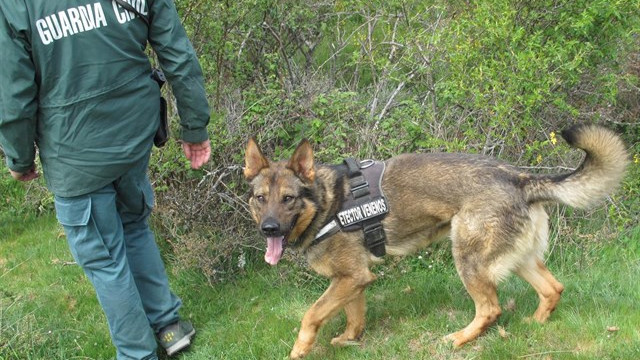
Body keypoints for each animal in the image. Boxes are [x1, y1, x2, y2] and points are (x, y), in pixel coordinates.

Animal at [242, 124, 628, 358]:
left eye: (289, 199)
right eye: (261, 199)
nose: (269, 229)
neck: (327, 204)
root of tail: (521, 179)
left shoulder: (350, 278)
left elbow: (311, 315)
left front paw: (299, 351)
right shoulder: (353, 280)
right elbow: (354, 315)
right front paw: (350, 340)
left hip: (468, 259)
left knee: (490, 309)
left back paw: (459, 339)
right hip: (516, 259)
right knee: (552, 289)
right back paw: (533, 324)